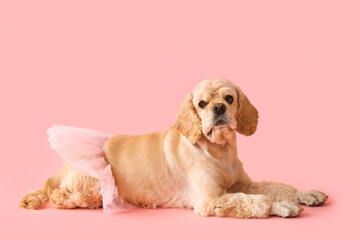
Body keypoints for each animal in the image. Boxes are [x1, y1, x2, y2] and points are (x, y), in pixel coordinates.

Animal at [20, 78, 330, 218]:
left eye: (229, 98)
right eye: (202, 103)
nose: (219, 108)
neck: (220, 151)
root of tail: (62, 168)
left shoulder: (240, 183)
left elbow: (276, 186)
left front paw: (305, 194)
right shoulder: (210, 199)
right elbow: (256, 201)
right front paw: (283, 206)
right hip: (90, 182)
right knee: (62, 196)